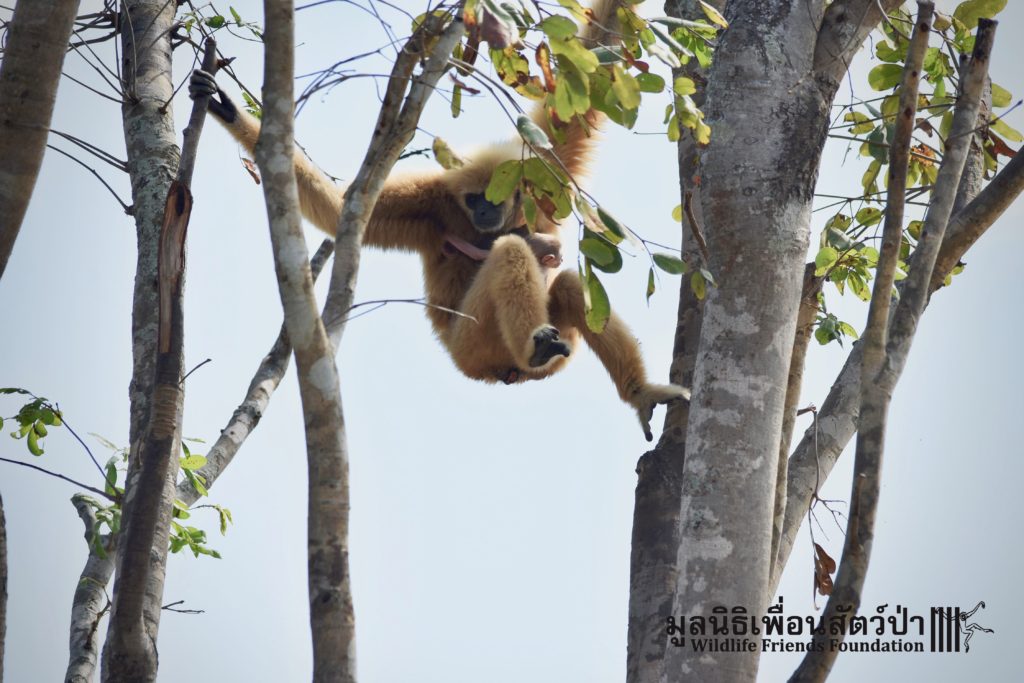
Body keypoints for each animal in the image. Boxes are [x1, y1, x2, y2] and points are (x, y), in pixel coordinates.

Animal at [189, 0, 688, 440]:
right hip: (473, 344)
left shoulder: (543, 171)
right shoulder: (429, 204)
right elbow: (339, 208)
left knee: (564, 284)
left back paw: (640, 393)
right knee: (516, 255)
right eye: (473, 200)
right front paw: (225, 107)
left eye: (494, 198)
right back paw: (537, 343)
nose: (486, 212)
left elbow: (596, 56)